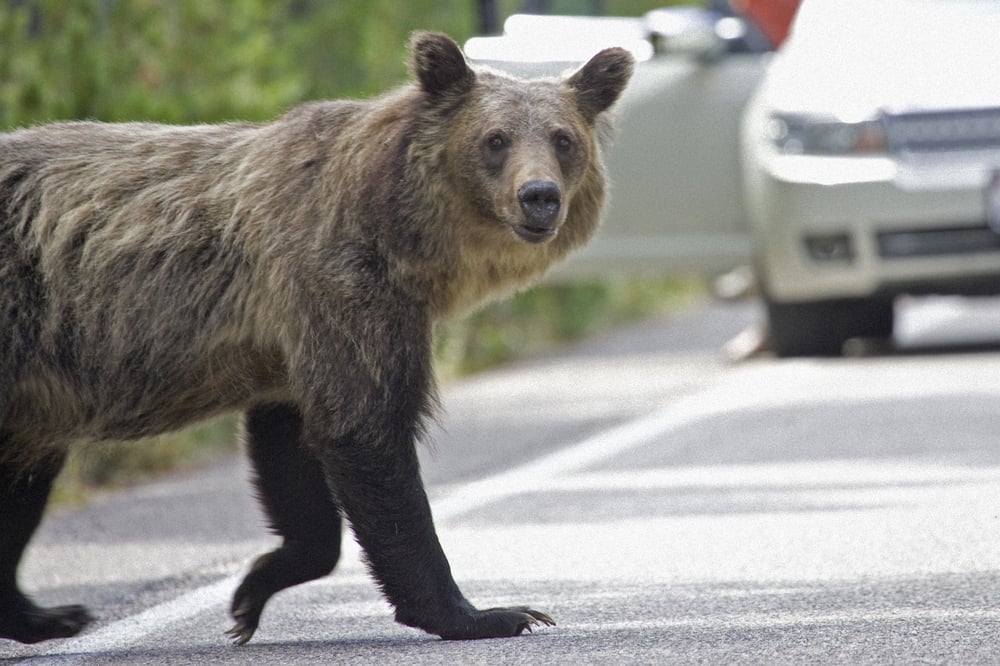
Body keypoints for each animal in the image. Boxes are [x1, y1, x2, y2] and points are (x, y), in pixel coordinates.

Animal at [0, 31, 632, 644]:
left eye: (563, 139)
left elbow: (297, 450)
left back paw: (43, 614)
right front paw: (487, 614)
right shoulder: (340, 282)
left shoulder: (289, 339)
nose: (539, 196)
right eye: (494, 139)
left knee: (24, 477)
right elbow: (367, 431)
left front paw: (253, 591)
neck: (404, 239)